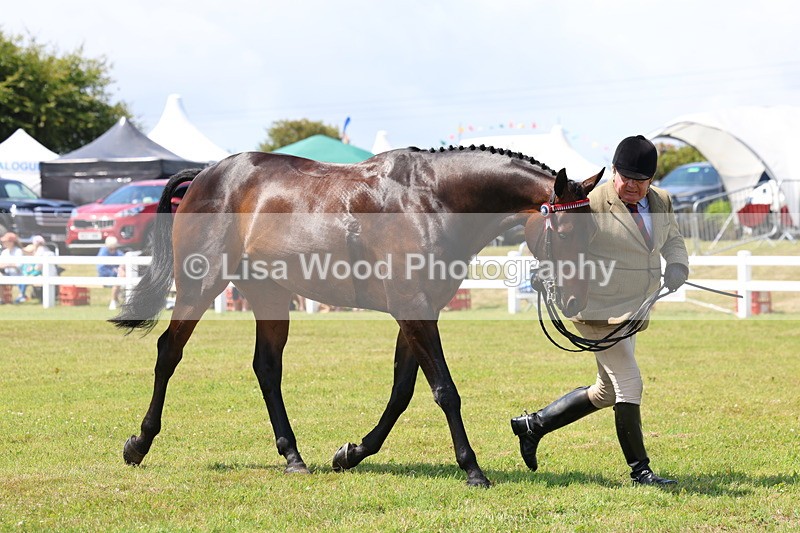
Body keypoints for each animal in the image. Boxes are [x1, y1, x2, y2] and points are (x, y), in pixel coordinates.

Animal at [111, 145, 602, 487]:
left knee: (266, 368)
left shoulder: (418, 312)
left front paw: (351, 453)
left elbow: (402, 392)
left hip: (269, 296)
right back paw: (139, 443)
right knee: (169, 352)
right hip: (200, 286)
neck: (433, 200)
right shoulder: (414, 310)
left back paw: (293, 457)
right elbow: (445, 391)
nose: (576, 300)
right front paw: (473, 470)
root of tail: (208, 173)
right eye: (566, 230)